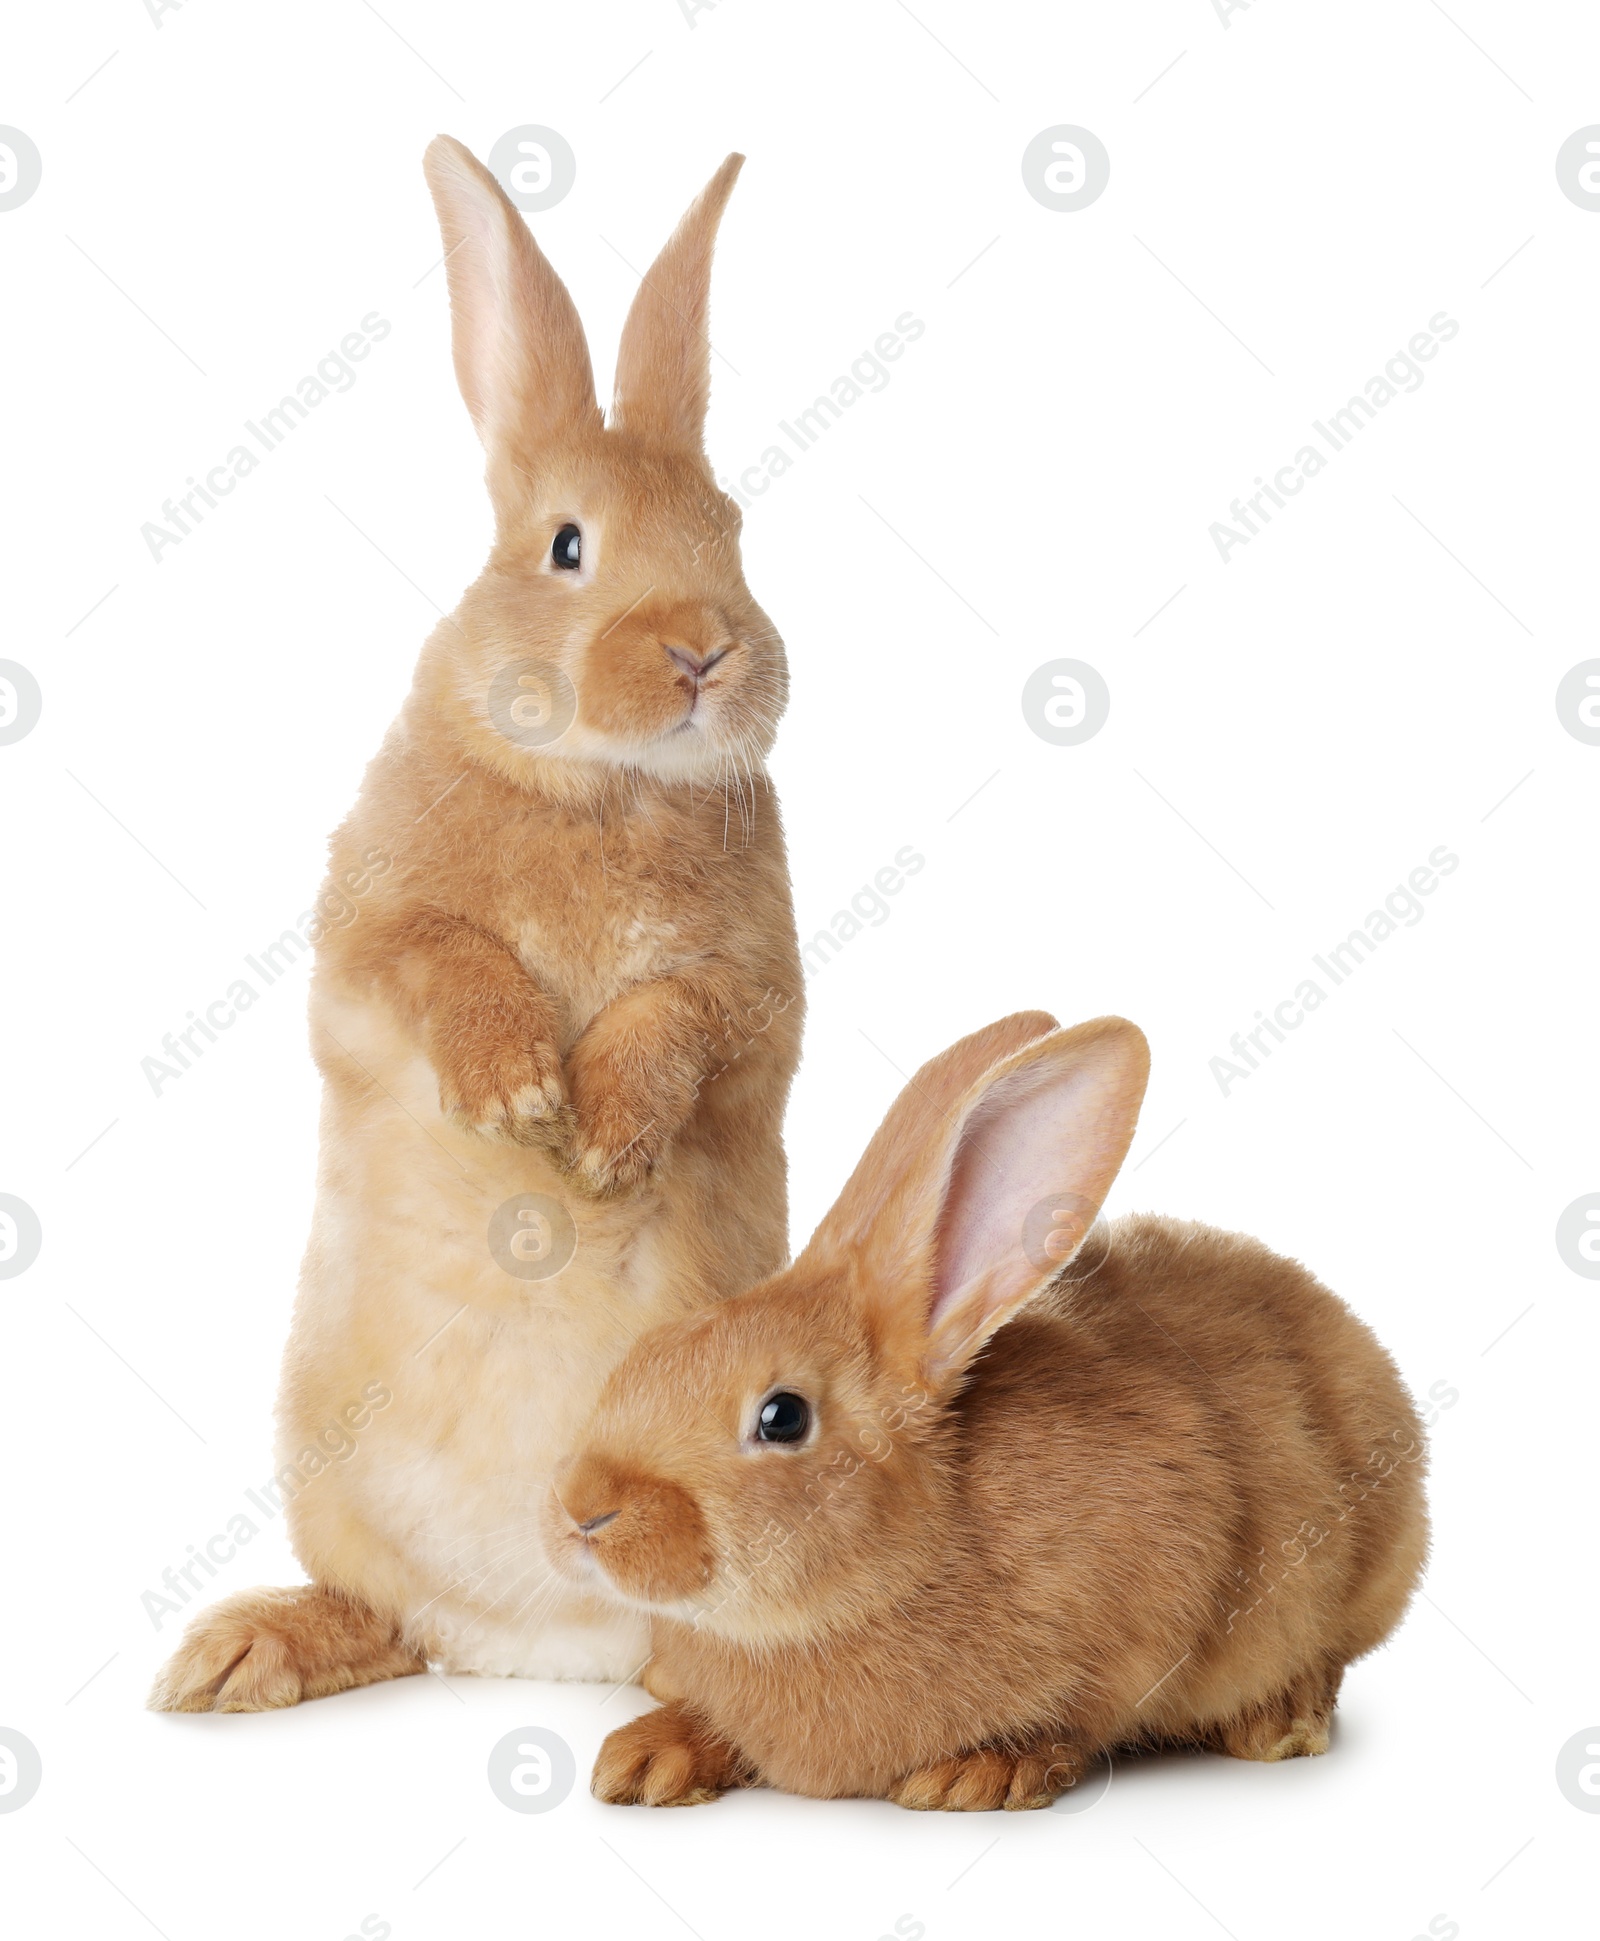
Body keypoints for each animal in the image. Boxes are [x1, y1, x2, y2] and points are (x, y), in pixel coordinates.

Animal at [149, 140, 800, 1715]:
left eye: (732, 534)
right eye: (566, 546)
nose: (704, 648)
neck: (600, 781)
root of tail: (534, 1650)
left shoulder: (756, 996)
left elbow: (677, 1017)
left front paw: (606, 1133)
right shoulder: (365, 941)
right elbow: (441, 960)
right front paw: (516, 1097)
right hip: (329, 1482)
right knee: (383, 1614)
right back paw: (241, 1654)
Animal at [555, 1009, 1429, 1809]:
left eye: (782, 1417)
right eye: (649, 1351)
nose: (583, 1510)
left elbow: (1077, 1714)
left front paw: (984, 1771)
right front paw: (648, 1756)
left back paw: (1279, 1720)